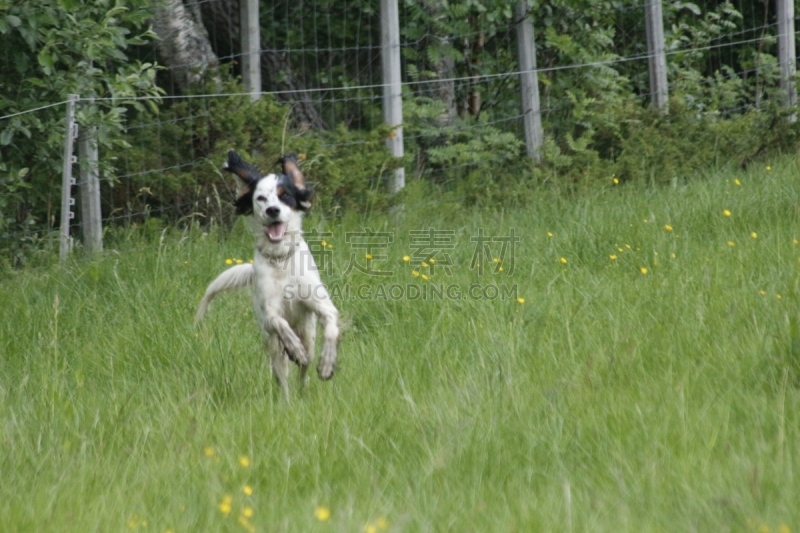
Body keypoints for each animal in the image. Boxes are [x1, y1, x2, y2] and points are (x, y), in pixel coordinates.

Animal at [198, 150, 342, 400]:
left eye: (285, 196)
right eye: (261, 198)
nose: (272, 210)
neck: (280, 258)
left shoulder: (321, 304)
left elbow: (332, 326)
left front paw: (327, 364)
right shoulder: (268, 313)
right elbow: (279, 322)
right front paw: (295, 348)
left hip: (308, 332)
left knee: (304, 370)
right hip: (273, 346)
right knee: (283, 375)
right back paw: (288, 398)